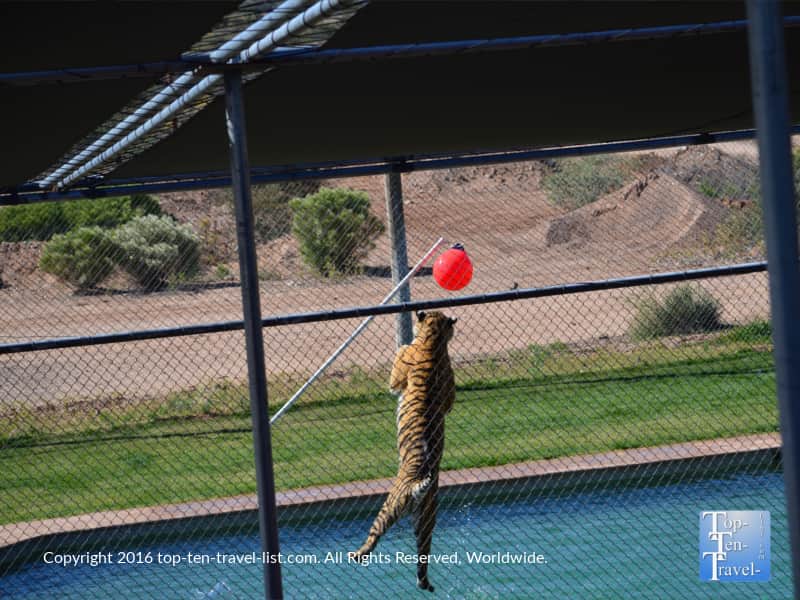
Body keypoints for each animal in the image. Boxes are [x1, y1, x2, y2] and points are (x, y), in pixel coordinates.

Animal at [350, 311, 457, 592]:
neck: (432, 339)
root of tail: (418, 485)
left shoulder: (397, 376)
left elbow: (396, 370)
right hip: (427, 519)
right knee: (423, 555)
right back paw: (424, 582)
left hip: (389, 508)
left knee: (374, 536)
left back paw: (357, 554)